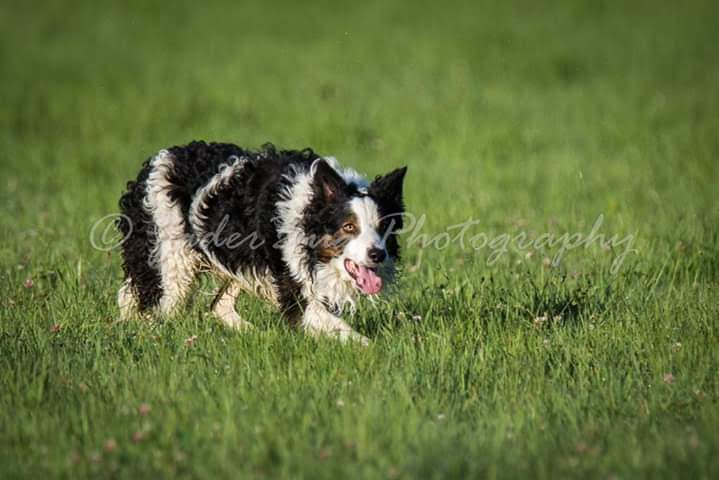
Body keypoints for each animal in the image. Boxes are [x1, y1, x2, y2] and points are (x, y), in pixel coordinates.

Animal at [116, 141, 408, 344]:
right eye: (349, 227)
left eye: (383, 227)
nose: (377, 254)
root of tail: (155, 162)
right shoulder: (294, 287)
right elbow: (340, 328)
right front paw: (374, 349)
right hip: (171, 267)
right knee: (147, 304)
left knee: (217, 306)